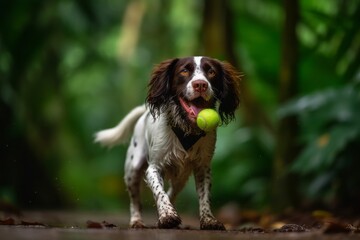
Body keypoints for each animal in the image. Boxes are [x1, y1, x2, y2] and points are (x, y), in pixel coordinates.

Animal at [95, 56, 240, 231]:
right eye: (184, 70)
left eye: (211, 71)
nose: (200, 84)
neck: (186, 130)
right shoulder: (154, 167)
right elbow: (159, 192)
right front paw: (167, 215)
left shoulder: (203, 168)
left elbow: (204, 197)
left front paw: (209, 219)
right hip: (132, 169)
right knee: (135, 200)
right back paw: (136, 220)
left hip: (181, 178)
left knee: (173, 192)